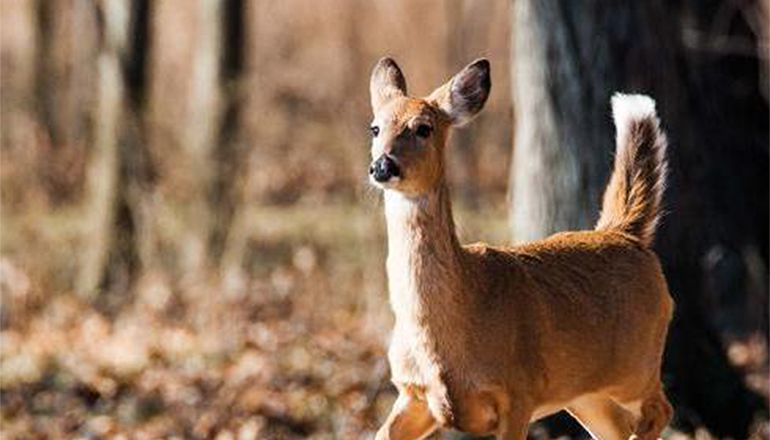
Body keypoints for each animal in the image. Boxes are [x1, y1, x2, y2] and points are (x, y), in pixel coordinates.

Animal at [366, 55, 672, 440]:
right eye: (375, 128)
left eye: (423, 128)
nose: (382, 165)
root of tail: (624, 233)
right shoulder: (413, 393)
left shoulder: (518, 390)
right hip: (582, 393)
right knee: (617, 427)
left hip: (636, 364)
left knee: (660, 409)